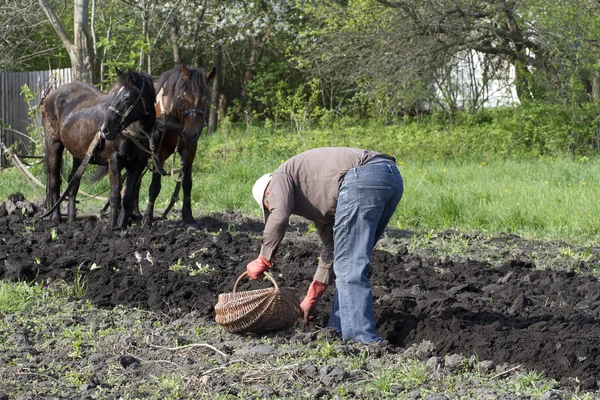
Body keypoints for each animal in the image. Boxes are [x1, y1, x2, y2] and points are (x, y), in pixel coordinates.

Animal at [40, 69, 156, 228]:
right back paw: (56, 218)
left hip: (79, 154)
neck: (133, 131)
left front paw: (122, 226)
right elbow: (115, 194)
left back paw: (72, 220)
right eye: (114, 95)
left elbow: (128, 197)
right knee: (54, 182)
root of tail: (50, 96)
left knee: (73, 183)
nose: (105, 129)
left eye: (127, 98)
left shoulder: (137, 166)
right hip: (54, 145)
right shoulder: (114, 160)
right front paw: (111, 226)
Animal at [138, 63, 216, 225]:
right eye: (184, 96)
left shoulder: (190, 149)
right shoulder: (159, 153)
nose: (190, 134)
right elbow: (155, 186)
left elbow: (187, 183)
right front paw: (148, 218)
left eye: (205, 99)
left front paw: (189, 217)